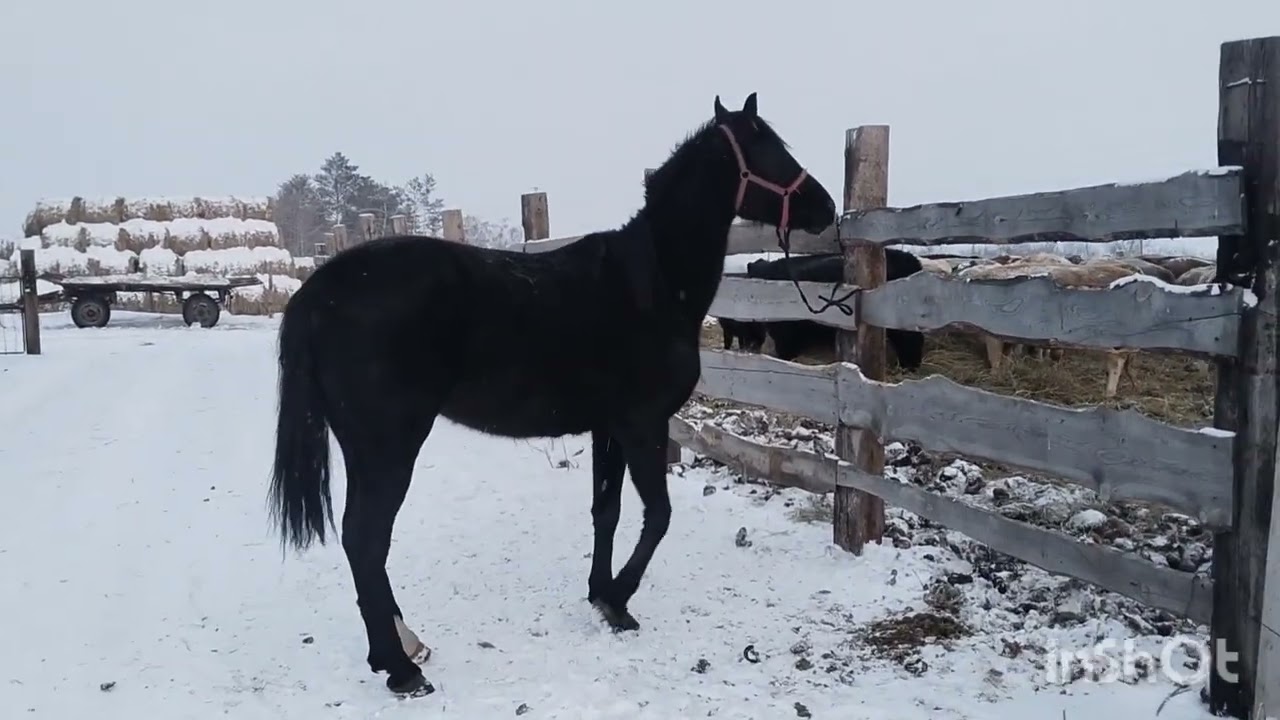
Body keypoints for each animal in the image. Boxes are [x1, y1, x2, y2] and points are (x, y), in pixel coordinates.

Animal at [268, 92, 836, 697]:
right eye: (767, 147)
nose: (825, 208)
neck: (654, 282)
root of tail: (320, 290)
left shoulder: (609, 426)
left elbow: (606, 510)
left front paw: (601, 595)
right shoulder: (643, 425)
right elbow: (658, 515)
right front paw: (620, 597)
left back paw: (398, 649)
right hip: (387, 447)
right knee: (366, 540)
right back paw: (400, 668)